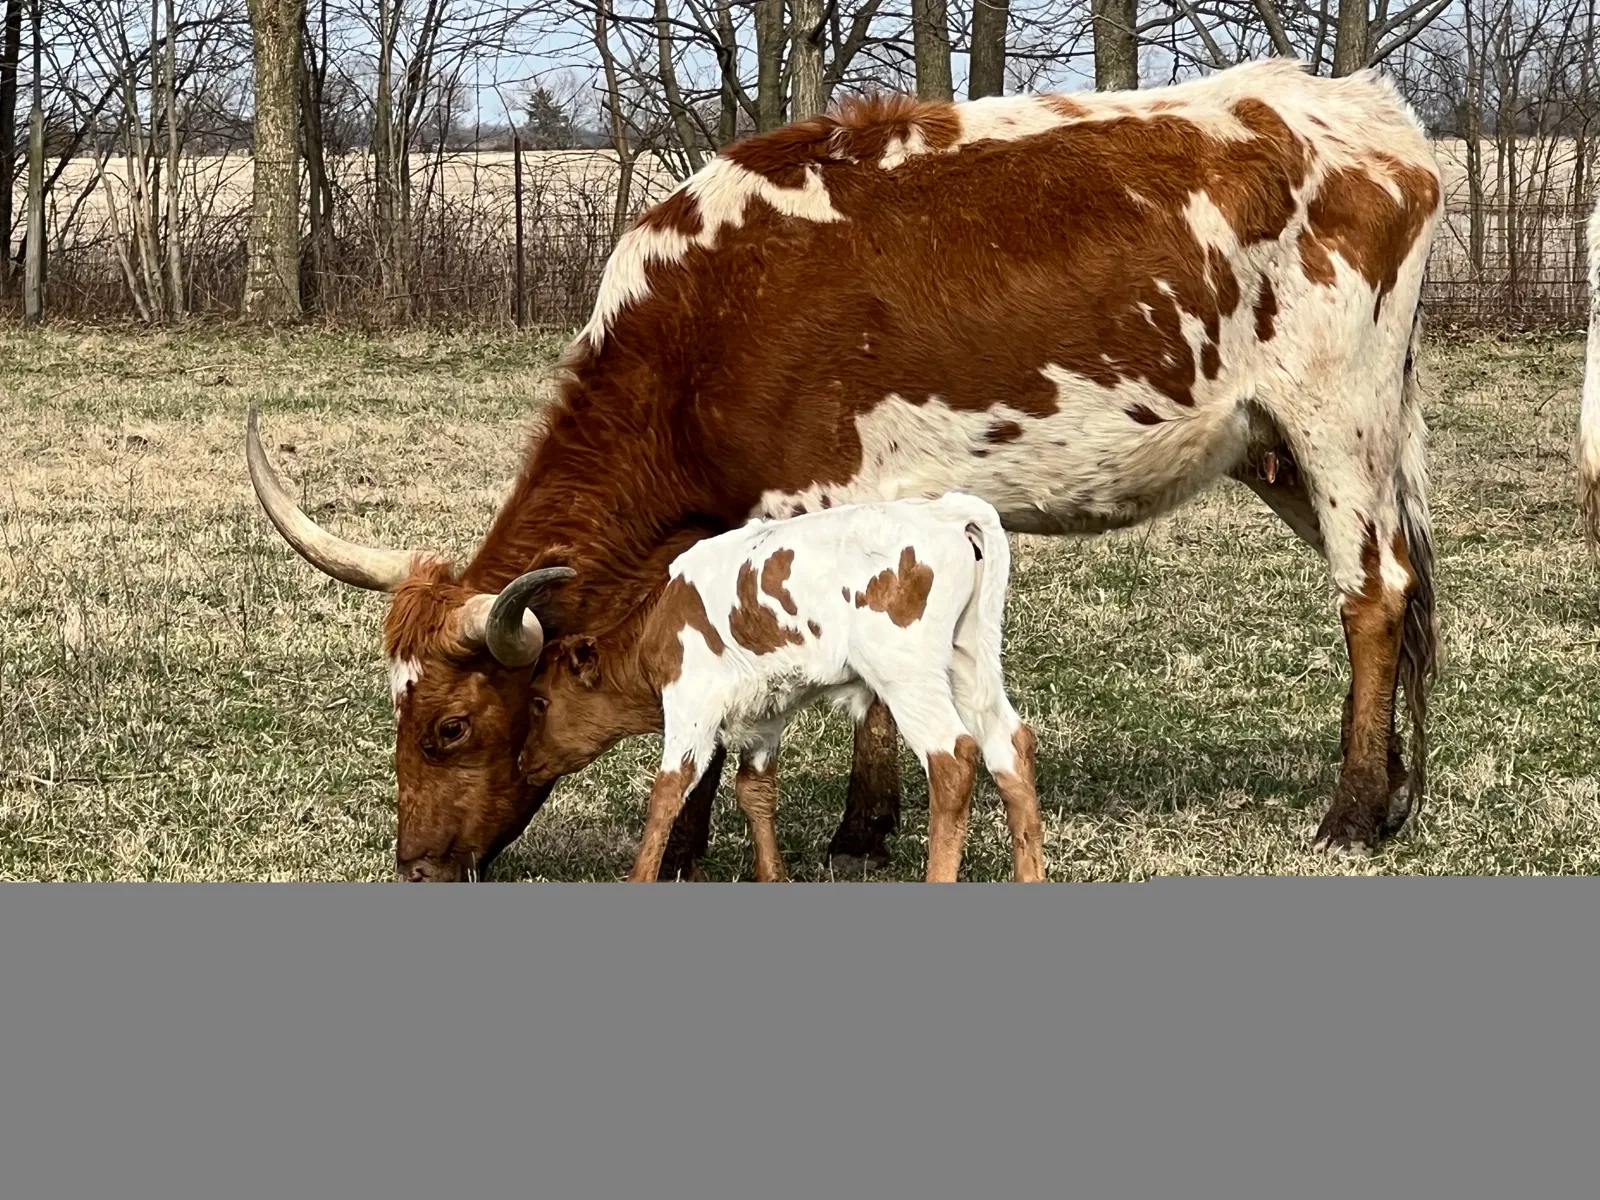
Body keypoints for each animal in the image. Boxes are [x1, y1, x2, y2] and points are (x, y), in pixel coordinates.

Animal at [514, 493, 1045, 882]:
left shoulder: (689, 704)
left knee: (953, 758)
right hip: (971, 658)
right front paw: (773, 875)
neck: (659, 619)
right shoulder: (765, 714)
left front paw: (639, 877)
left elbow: (668, 792)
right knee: (1009, 744)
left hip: (908, 675)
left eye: (539, 701)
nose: (524, 762)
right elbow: (756, 791)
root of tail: (946, 512)